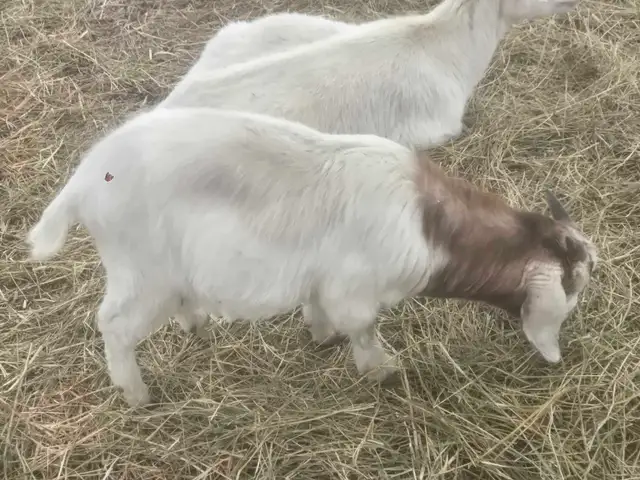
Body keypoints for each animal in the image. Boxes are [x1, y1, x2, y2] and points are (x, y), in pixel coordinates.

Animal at [27, 107, 596, 407]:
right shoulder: (356, 288)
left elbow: (320, 310)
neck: (431, 226)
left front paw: (321, 336)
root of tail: (83, 183)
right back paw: (137, 394)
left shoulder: (325, 280)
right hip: (141, 272)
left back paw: (195, 322)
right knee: (114, 324)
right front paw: (383, 372)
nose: (558, 360)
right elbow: (363, 329)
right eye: (574, 286)